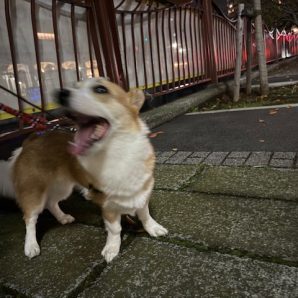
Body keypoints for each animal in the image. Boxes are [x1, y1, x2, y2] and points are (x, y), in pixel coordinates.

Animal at [0, 78, 168, 262]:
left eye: (101, 89)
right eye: (74, 87)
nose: (61, 93)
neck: (117, 153)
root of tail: (29, 141)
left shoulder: (141, 192)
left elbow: (145, 214)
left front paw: (153, 228)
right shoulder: (107, 205)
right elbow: (115, 229)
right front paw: (112, 249)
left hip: (63, 187)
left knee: (52, 202)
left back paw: (63, 217)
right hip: (33, 192)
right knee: (30, 218)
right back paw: (31, 245)